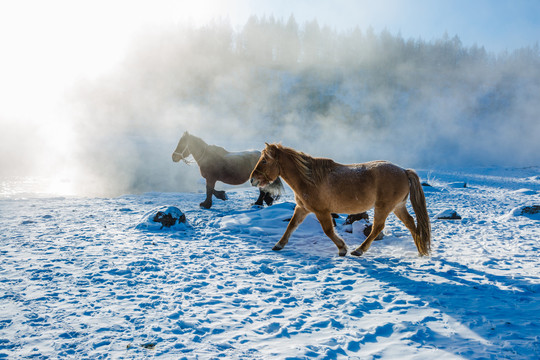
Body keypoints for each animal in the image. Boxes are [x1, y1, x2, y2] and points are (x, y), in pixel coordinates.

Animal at [249, 142, 430, 258]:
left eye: (264, 160)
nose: (252, 180)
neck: (309, 179)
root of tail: (404, 171)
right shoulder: (302, 208)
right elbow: (291, 226)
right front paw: (279, 245)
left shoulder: (322, 211)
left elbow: (328, 230)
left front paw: (342, 248)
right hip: (398, 207)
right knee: (410, 223)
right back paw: (420, 250)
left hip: (384, 207)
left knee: (377, 228)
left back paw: (359, 250)